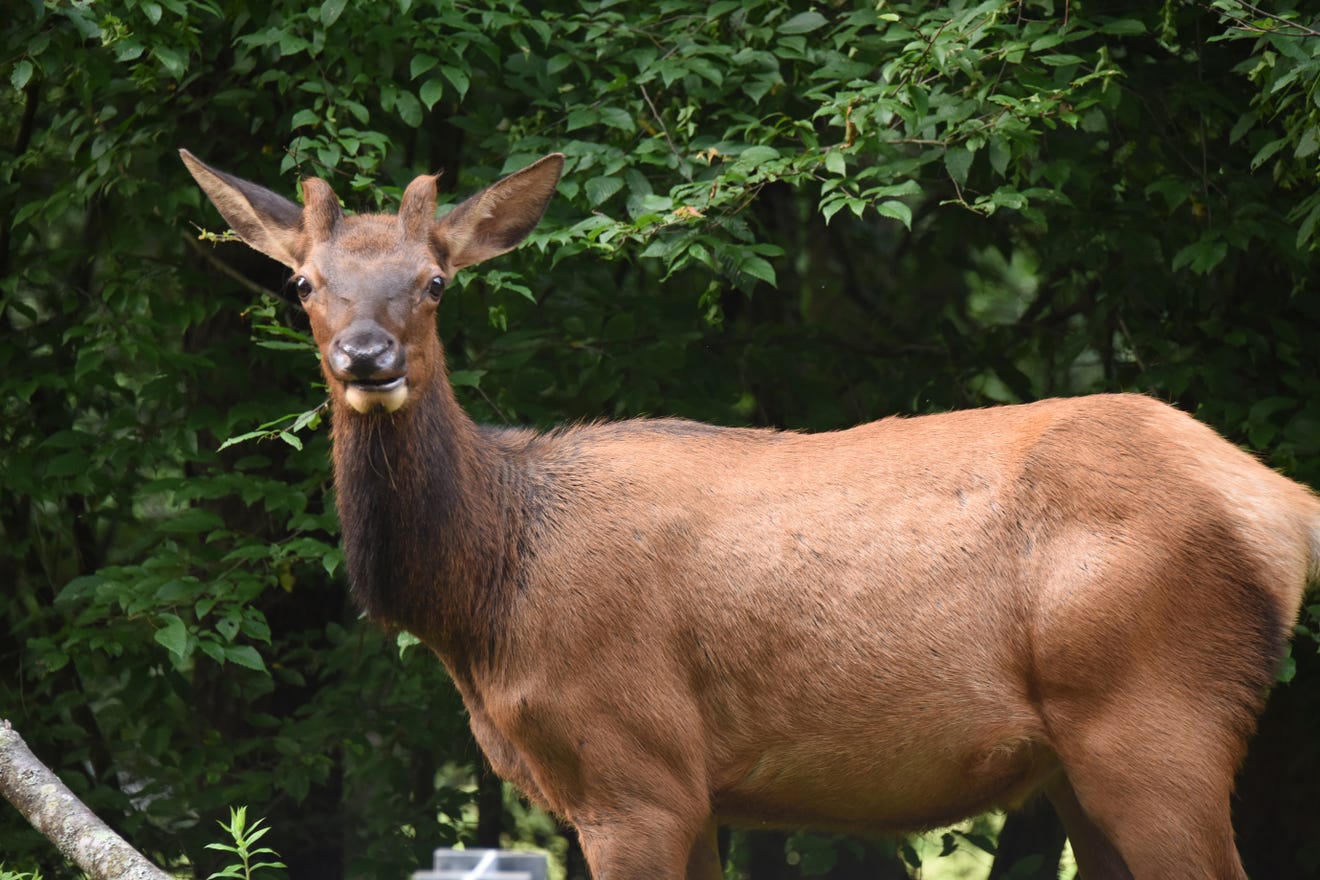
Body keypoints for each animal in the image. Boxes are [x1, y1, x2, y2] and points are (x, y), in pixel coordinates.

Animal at [183, 147, 1320, 876]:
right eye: (303, 283)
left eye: (434, 281)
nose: (364, 357)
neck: (484, 603)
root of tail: (1284, 501)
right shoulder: (686, 790)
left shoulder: (632, 766)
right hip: (1087, 764)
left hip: (1157, 715)